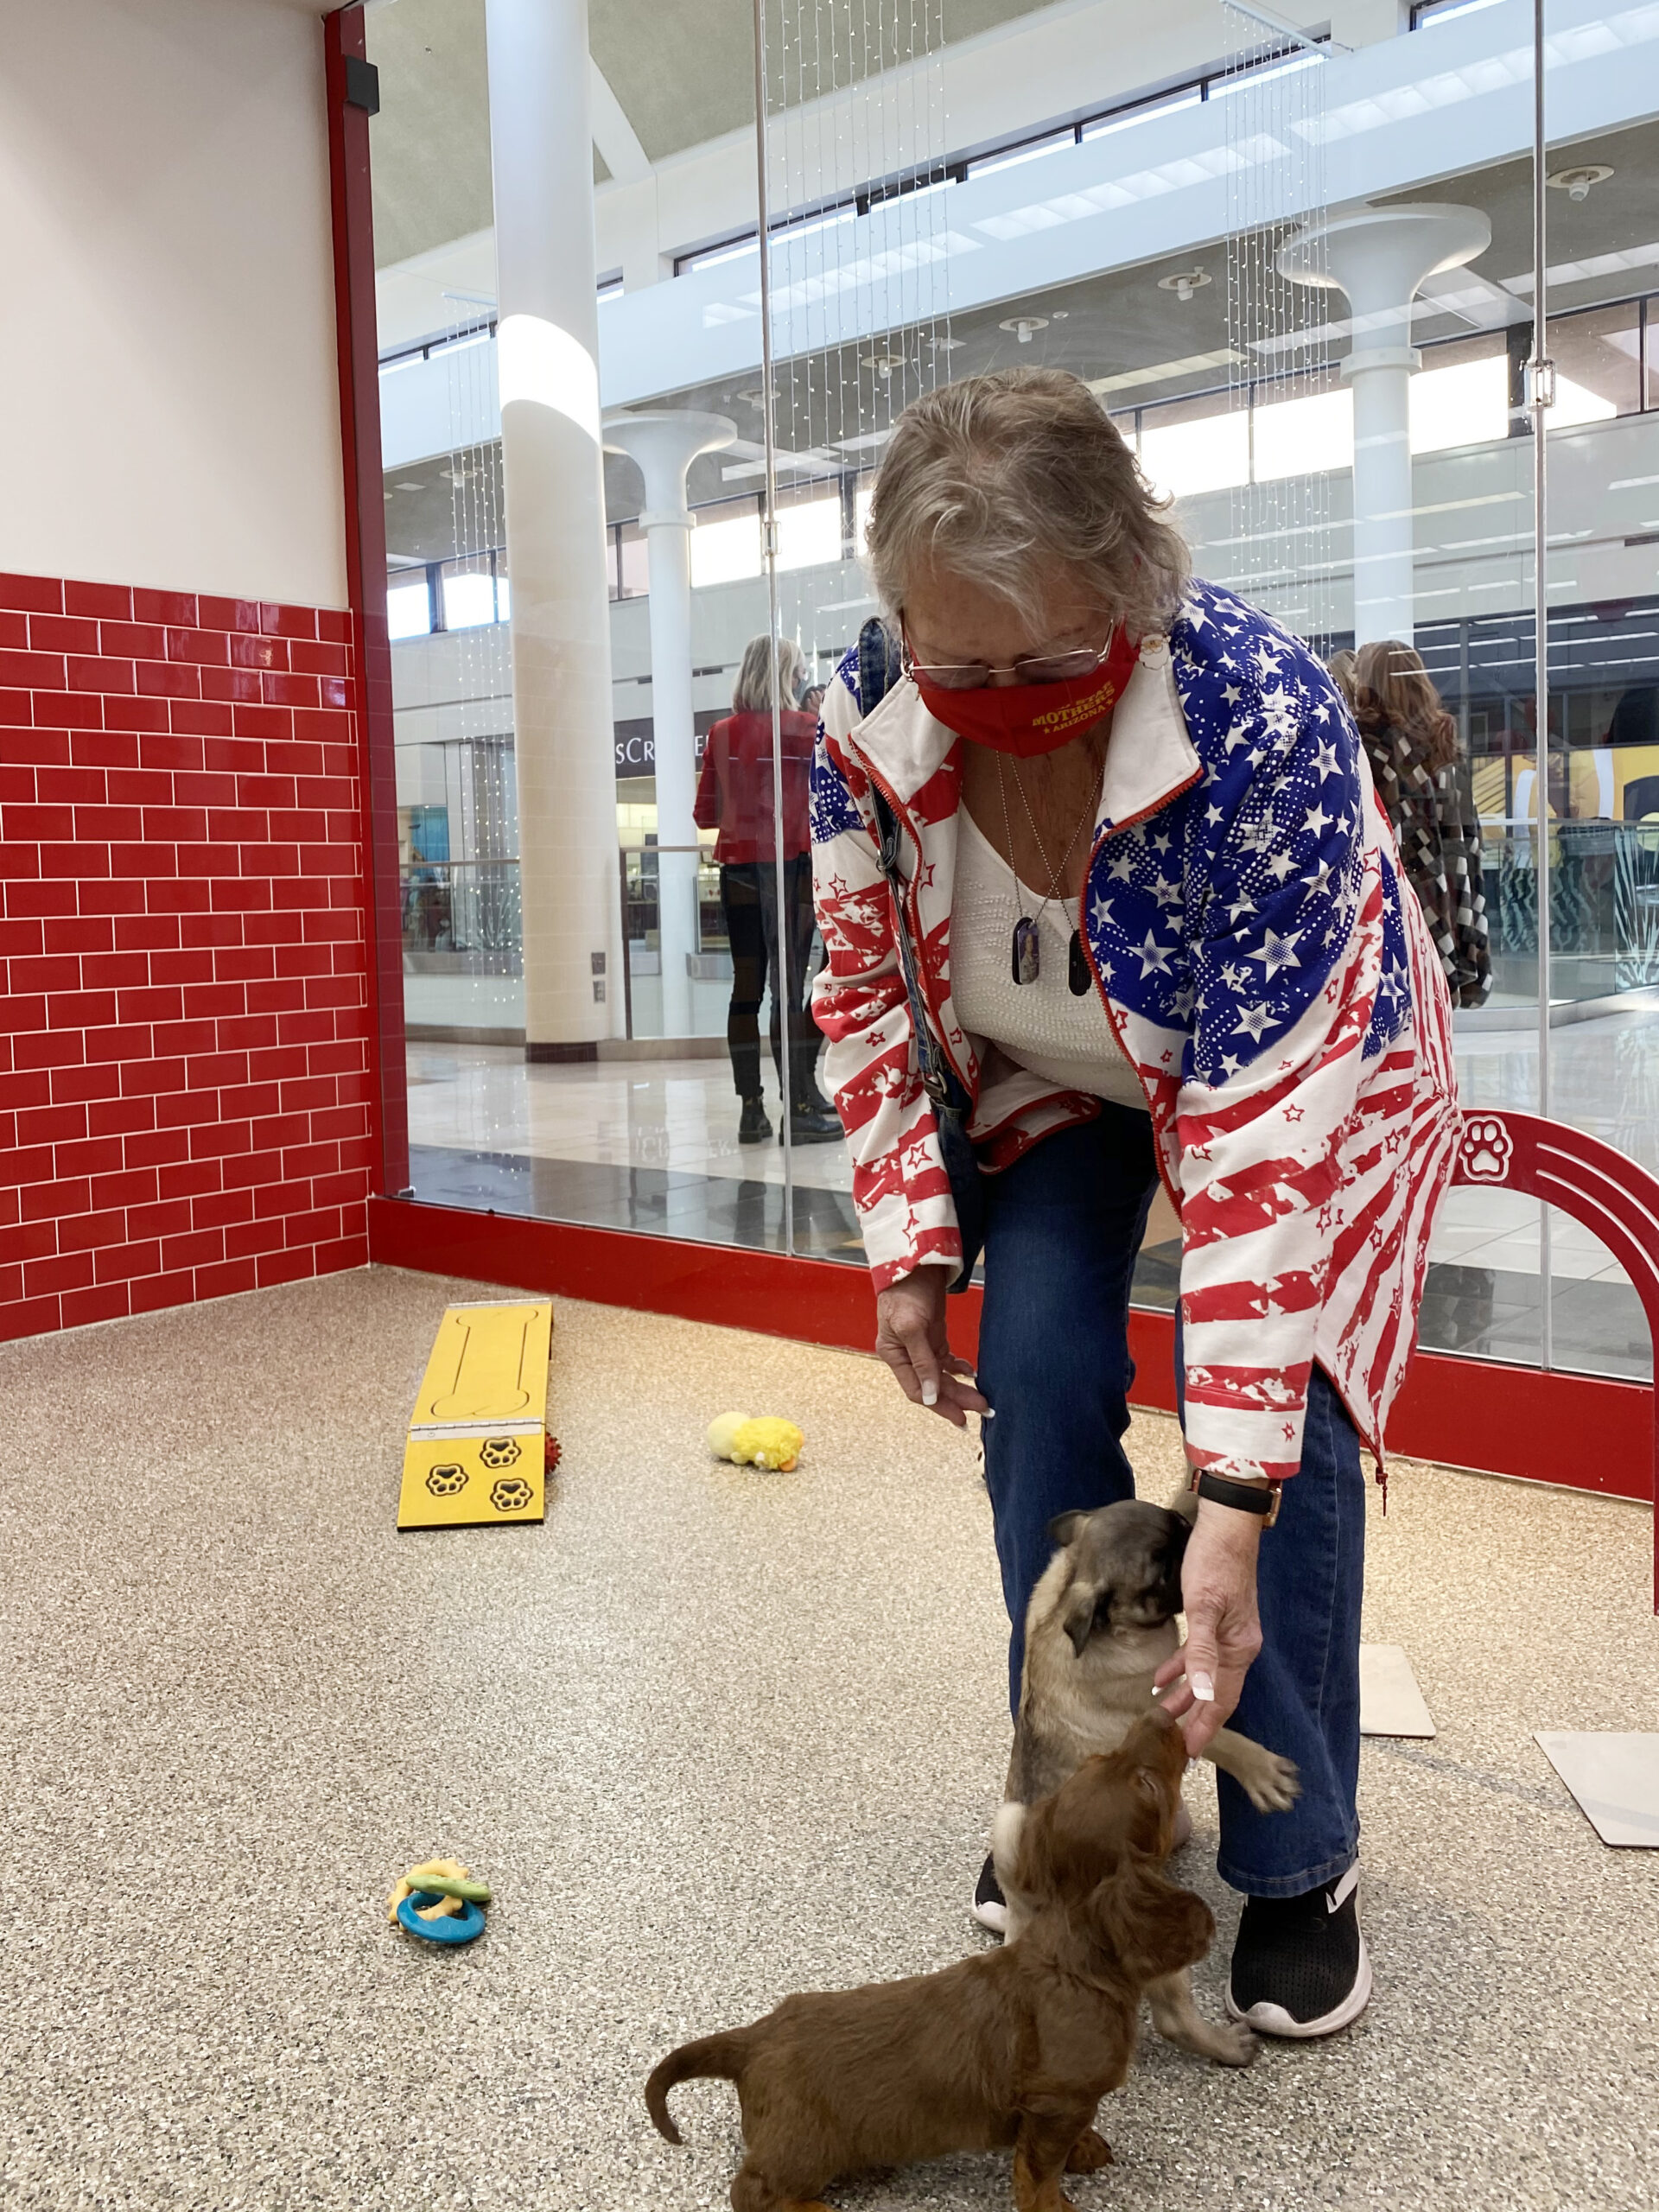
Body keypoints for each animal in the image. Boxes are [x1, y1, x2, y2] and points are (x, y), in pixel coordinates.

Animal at [645, 1707, 1211, 2212]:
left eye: (1101, 1757)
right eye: (1148, 1785)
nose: (1163, 1714)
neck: (1071, 1961)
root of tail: (753, 2039)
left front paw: (1087, 2148)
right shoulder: (1057, 2104)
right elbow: (1038, 2175)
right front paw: (1058, 2203)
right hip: (806, 2146)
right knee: (752, 2191)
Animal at [995, 1495, 1309, 2061]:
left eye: (1181, 1528)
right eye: (1160, 1571)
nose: (1194, 1547)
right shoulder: (1170, 1713)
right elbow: (1223, 1736)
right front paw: (1262, 1772)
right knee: (1172, 2018)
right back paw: (1226, 2046)